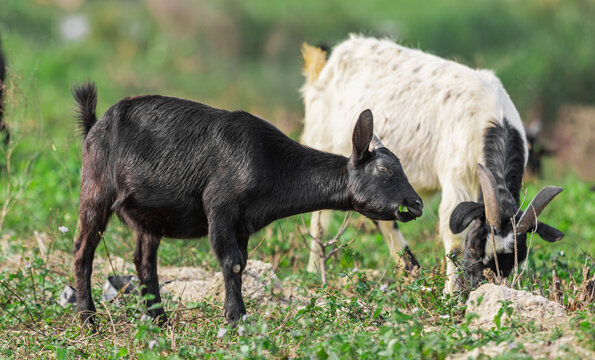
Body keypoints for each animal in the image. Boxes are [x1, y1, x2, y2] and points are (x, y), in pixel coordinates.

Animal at [72, 83, 422, 324]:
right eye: (385, 169)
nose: (416, 204)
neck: (273, 164)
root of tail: (94, 125)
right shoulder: (220, 207)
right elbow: (232, 262)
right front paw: (236, 319)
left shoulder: (243, 225)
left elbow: (241, 263)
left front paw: (238, 315)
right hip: (95, 191)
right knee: (83, 250)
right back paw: (88, 319)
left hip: (150, 218)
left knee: (144, 261)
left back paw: (160, 320)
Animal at [300, 35, 564, 292]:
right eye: (476, 245)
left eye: (513, 261)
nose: (480, 285)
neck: (490, 120)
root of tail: (328, 59)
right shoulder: (457, 177)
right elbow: (453, 236)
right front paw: (451, 293)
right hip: (322, 138)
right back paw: (315, 270)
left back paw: (411, 271)